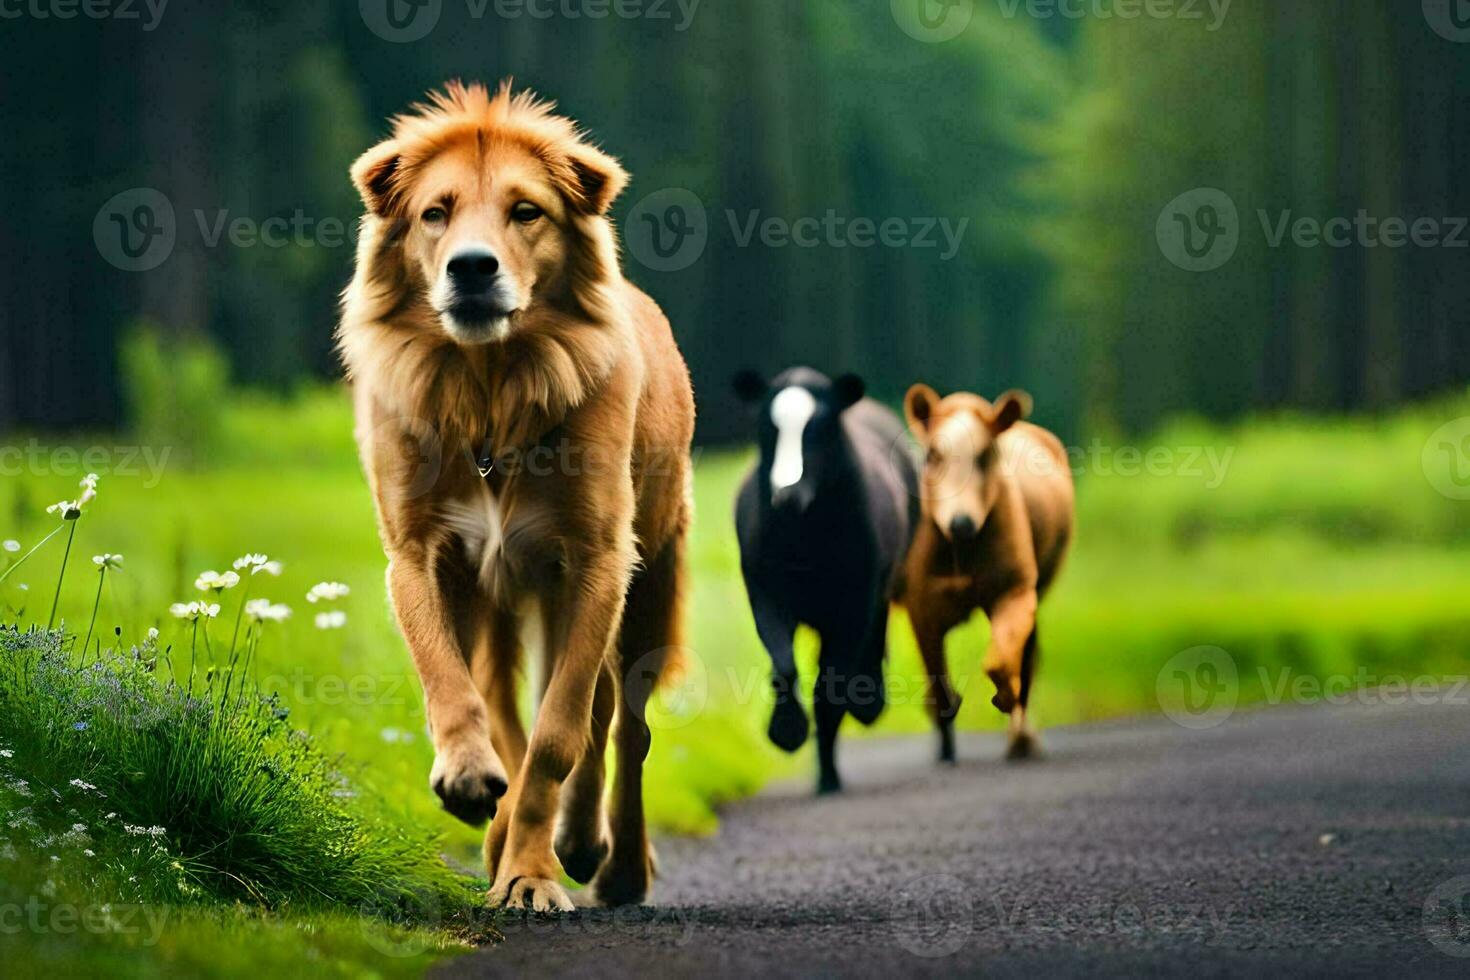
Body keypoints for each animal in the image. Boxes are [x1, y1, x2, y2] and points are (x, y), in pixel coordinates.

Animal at [338, 82, 693, 910]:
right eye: (435, 212)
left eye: (526, 211)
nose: (472, 268)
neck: (489, 389)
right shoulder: (420, 556)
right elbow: (453, 685)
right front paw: (471, 782)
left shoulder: (596, 562)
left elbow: (562, 732)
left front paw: (535, 874)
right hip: (498, 602)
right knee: (511, 707)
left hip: (649, 579)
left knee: (620, 724)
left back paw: (607, 857)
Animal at [899, 382, 1076, 758]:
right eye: (933, 455)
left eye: (984, 456)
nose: (961, 523)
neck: (962, 552)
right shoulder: (921, 603)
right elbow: (939, 686)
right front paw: (944, 725)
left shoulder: (1016, 589)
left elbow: (1001, 659)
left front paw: (1005, 700)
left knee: (1028, 657)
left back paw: (1021, 737)